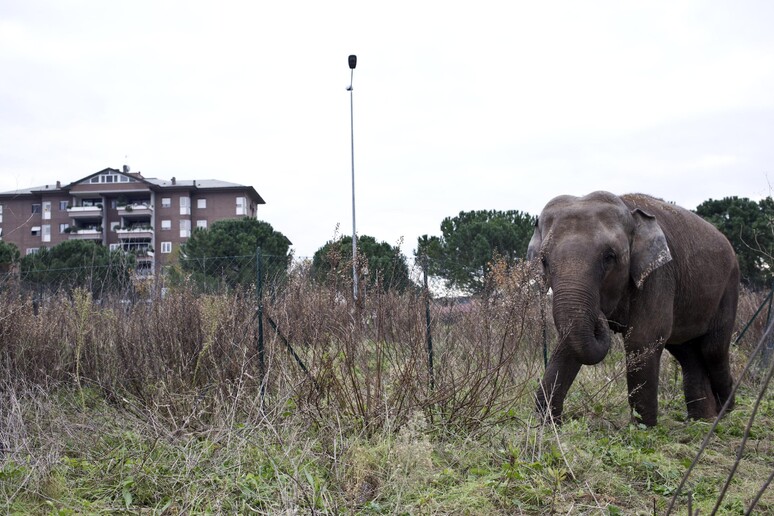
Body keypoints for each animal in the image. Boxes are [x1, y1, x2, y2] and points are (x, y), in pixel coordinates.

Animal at [528, 191, 740, 426]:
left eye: (609, 257)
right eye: (544, 260)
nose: (602, 315)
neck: (628, 209)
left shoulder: (658, 273)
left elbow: (643, 337)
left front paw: (642, 427)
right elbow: (567, 342)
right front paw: (546, 424)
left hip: (729, 288)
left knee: (713, 349)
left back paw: (723, 411)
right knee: (687, 353)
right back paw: (702, 420)